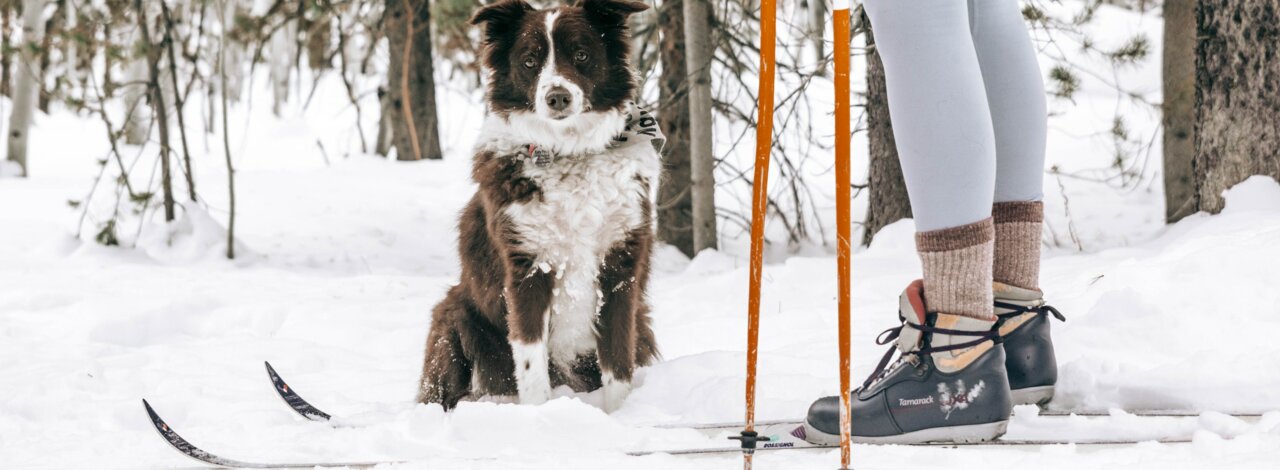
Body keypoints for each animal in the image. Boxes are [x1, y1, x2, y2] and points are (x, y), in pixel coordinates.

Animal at [417, 0, 660, 412]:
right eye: (529, 61)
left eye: (581, 54)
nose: (557, 97)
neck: (570, 153)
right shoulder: (528, 268)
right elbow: (531, 364)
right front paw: (540, 416)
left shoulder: (620, 268)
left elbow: (617, 362)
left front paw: (618, 416)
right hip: (454, 315)